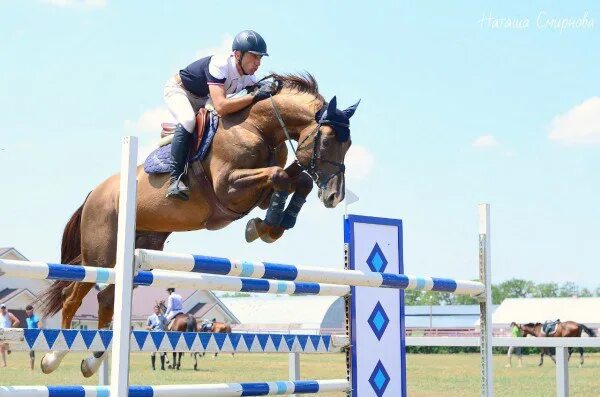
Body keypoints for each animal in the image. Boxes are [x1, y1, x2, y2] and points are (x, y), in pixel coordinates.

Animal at [36, 72, 356, 376]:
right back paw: (53, 357)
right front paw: (263, 228)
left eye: (349, 145)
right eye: (327, 141)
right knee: (72, 297)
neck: (258, 127)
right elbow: (279, 175)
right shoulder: (229, 188)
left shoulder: (260, 193)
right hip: (101, 256)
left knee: (106, 299)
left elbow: (297, 180)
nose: (334, 196)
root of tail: (95, 193)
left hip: (141, 249)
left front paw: (270, 226)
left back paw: (92, 360)